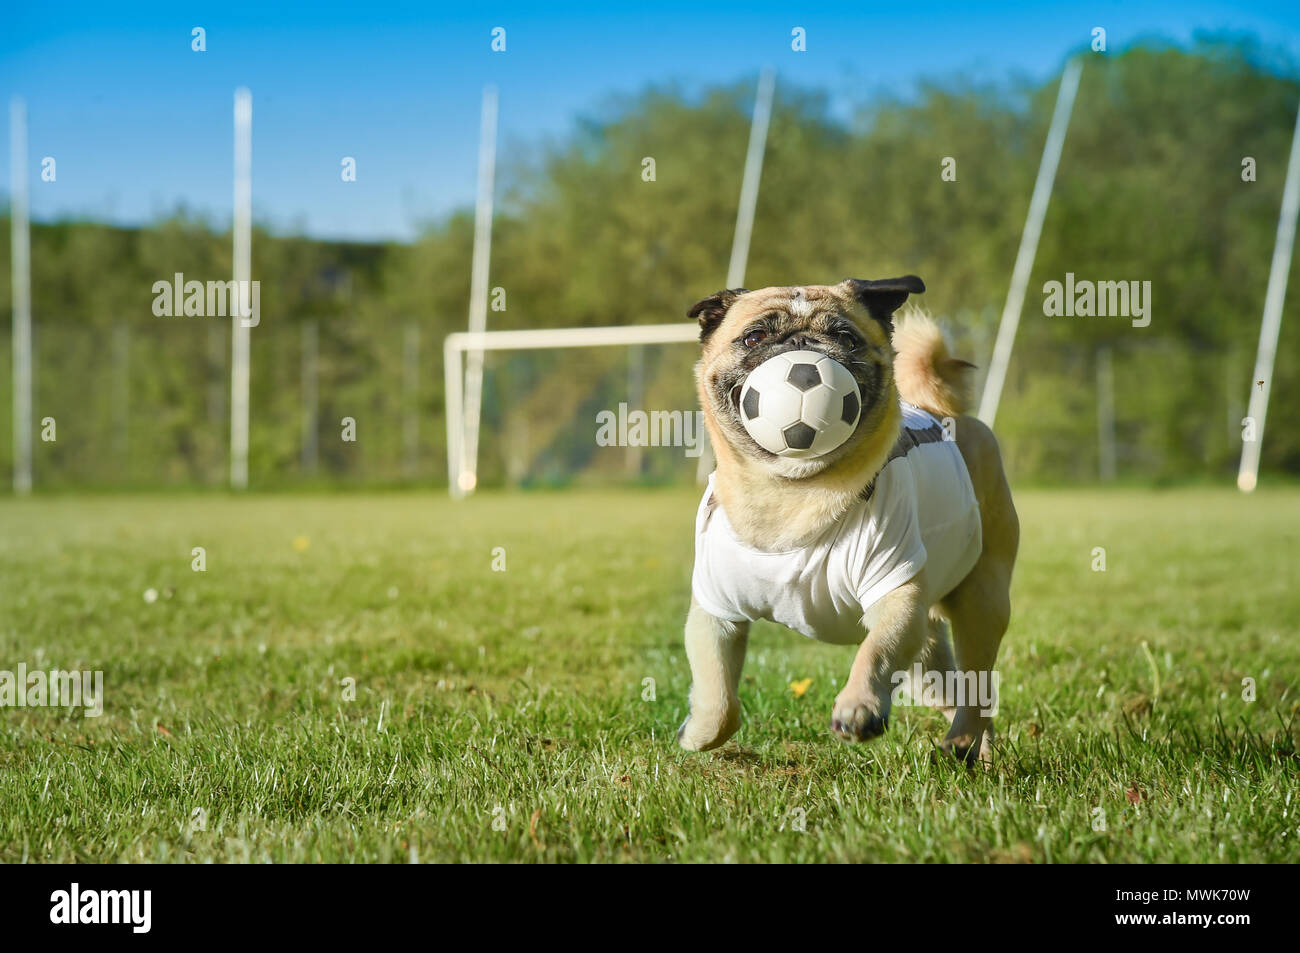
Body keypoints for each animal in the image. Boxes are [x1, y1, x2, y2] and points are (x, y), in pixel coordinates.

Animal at [676, 273, 1019, 759]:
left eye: (845, 338)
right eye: (755, 337)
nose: (802, 344)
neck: (793, 491)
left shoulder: (897, 595)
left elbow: (874, 653)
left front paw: (859, 707)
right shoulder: (716, 611)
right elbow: (719, 697)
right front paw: (698, 731)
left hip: (981, 600)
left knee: (978, 686)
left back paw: (963, 742)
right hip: (929, 658)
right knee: (953, 689)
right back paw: (974, 748)